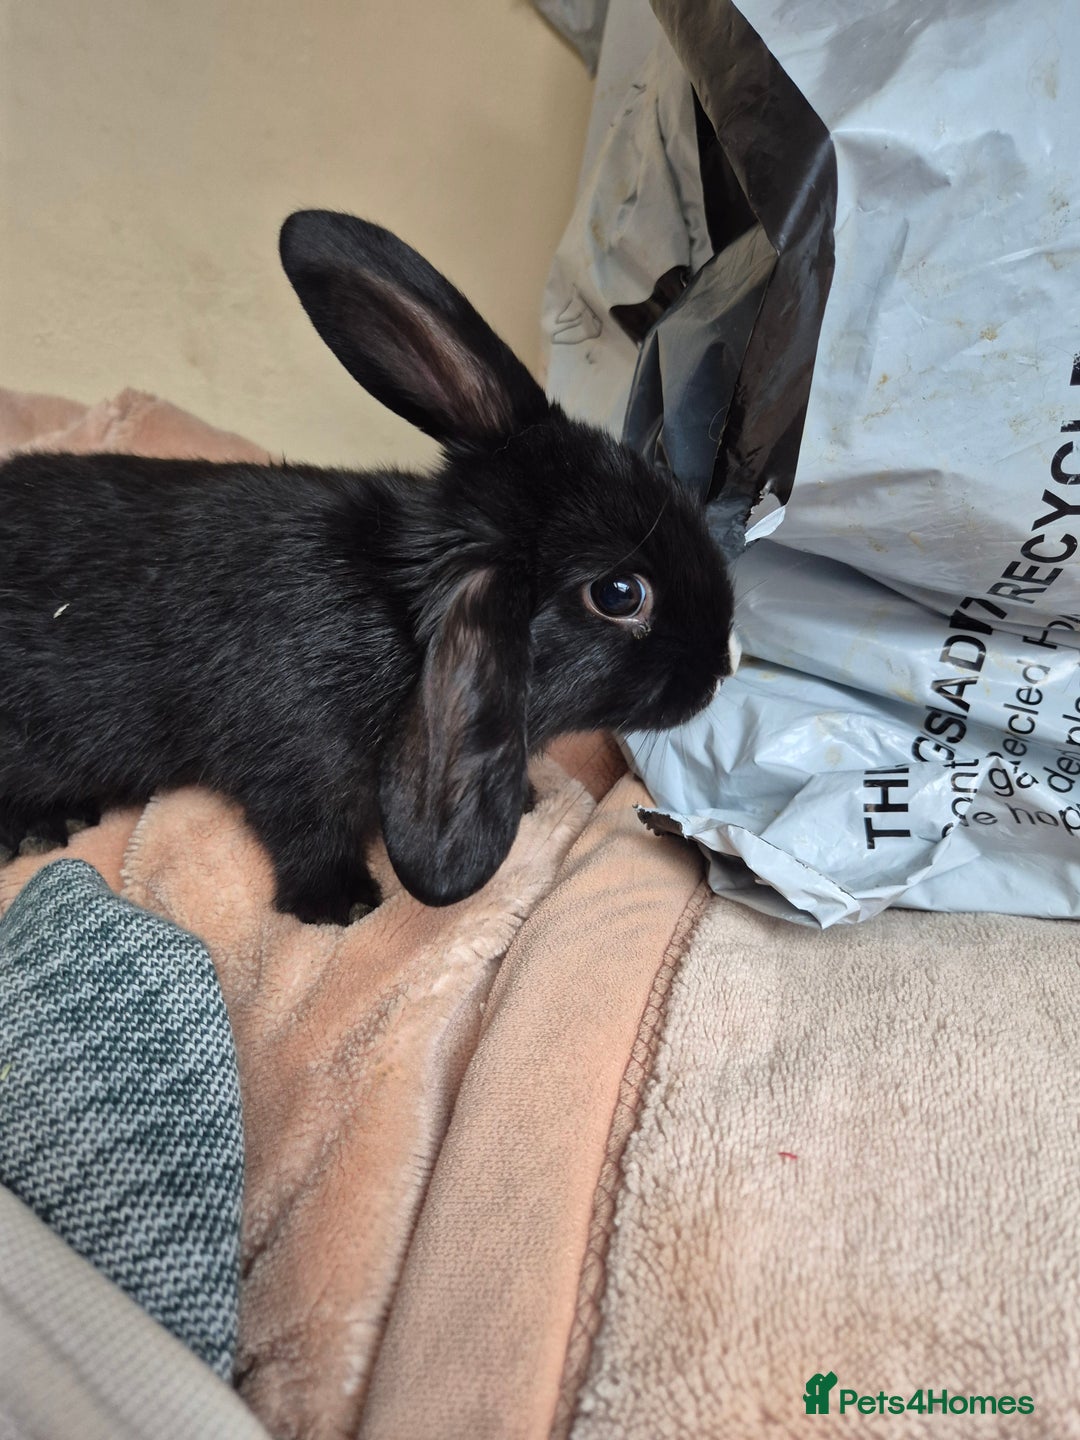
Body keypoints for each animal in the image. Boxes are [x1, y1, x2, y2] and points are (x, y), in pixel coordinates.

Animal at [0, 209, 737, 925]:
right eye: (619, 594)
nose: (721, 669)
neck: (398, 602)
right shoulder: (298, 764)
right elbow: (308, 831)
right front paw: (344, 904)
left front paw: (525, 798)